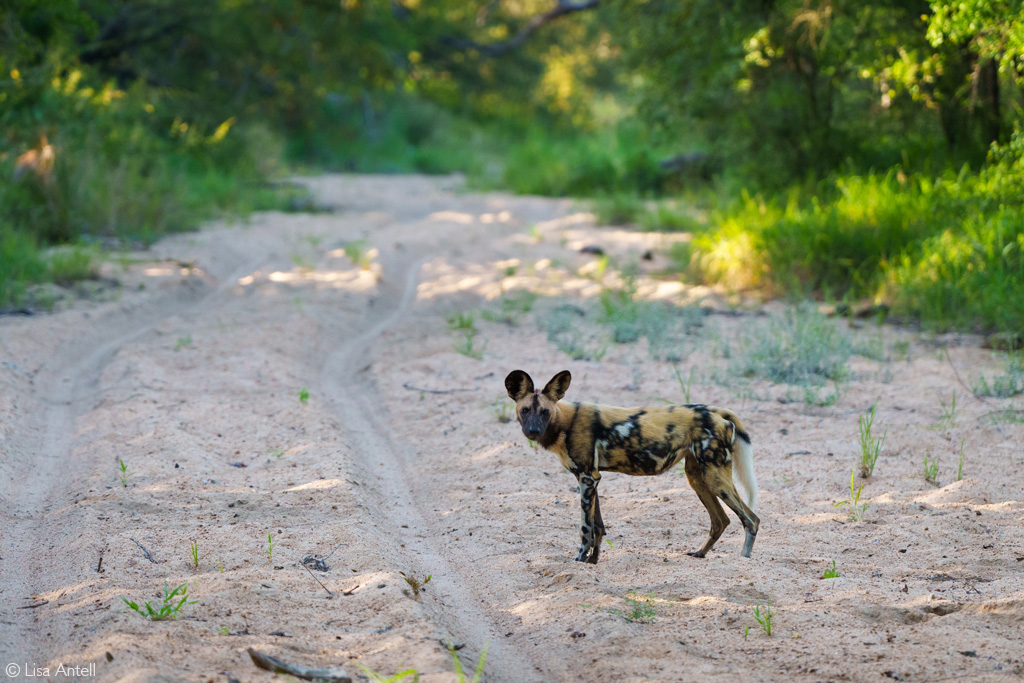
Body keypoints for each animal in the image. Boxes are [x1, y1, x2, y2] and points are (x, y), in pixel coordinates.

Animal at [505, 370, 761, 565]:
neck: (564, 423)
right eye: (526, 410)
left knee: (751, 519)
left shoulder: (587, 478)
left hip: (715, 478)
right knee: (721, 520)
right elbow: (598, 527)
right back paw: (700, 553)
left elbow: (585, 528)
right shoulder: (591, 479)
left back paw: (744, 560)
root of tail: (717, 411)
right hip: (698, 478)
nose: (533, 431)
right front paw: (592, 562)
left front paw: (579, 560)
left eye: (545, 412)